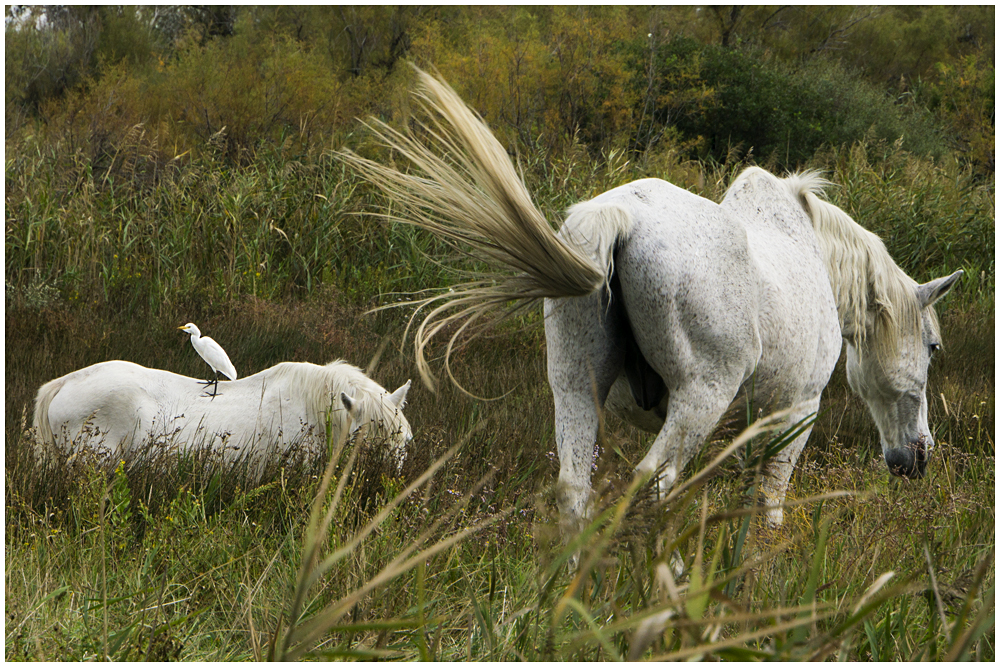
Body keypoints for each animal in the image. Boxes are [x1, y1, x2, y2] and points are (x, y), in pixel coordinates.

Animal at [342, 69, 960, 532]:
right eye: (932, 346)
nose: (916, 457)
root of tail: (618, 216)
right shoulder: (795, 412)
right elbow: (767, 509)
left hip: (575, 390)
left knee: (575, 491)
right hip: (699, 399)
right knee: (653, 487)